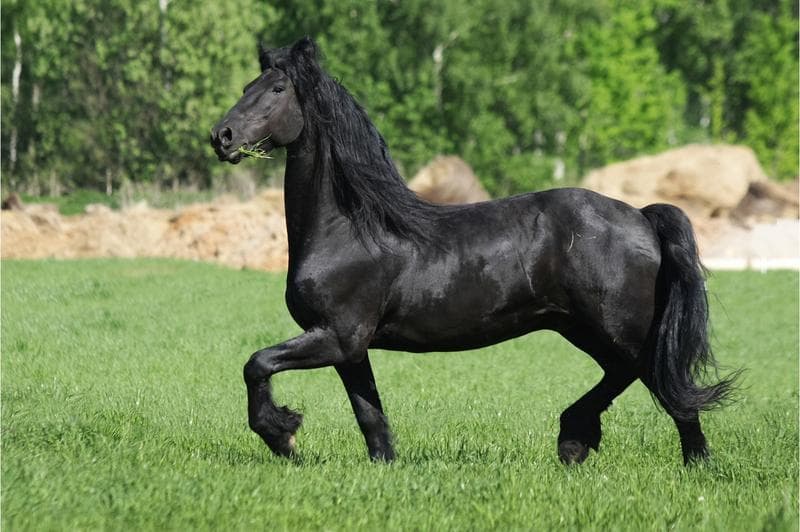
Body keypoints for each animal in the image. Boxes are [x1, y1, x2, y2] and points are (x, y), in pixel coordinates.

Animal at [210, 37, 736, 465]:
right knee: (623, 373)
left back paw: (692, 463)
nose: (222, 137)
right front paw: (381, 464)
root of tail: (641, 216)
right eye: (248, 84)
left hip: (620, 327)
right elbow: (370, 414)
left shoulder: (335, 336)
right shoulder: (351, 349)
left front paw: (283, 436)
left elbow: (256, 364)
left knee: (664, 383)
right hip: (580, 326)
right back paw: (575, 440)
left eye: (278, 90)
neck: (349, 229)